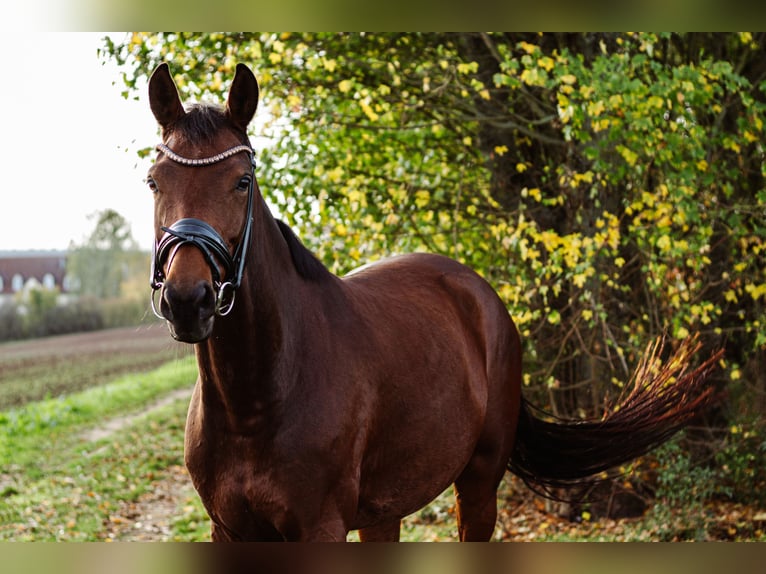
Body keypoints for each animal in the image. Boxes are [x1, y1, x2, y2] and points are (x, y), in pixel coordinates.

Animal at [147, 64, 724, 544]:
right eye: (154, 182)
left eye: (242, 182)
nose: (187, 299)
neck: (257, 399)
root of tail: (481, 294)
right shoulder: (230, 530)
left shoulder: (320, 528)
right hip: (384, 511)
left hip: (479, 486)